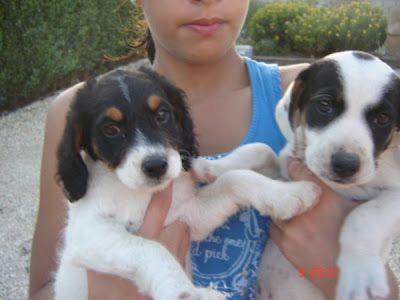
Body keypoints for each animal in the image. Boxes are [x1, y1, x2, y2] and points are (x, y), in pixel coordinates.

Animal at [54, 67, 320, 298]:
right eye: (110, 129)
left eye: (162, 115)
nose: (156, 166)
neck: (138, 193)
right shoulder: (86, 234)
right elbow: (148, 248)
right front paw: (186, 293)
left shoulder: (189, 216)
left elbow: (234, 178)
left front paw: (286, 195)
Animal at [256, 51, 400, 300]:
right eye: (325, 105)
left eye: (382, 119)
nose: (346, 164)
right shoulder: (285, 164)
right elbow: (258, 150)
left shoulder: (394, 194)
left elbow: (365, 215)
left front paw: (360, 273)